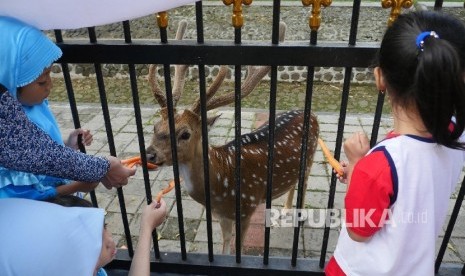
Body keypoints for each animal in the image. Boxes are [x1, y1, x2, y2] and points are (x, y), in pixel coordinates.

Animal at [146, 21, 320, 254]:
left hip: (310, 159)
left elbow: (238, 247)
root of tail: (311, 114)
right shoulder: (221, 216)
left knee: (304, 185)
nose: (149, 154)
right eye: (155, 126)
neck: (222, 182)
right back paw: (284, 209)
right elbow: (225, 246)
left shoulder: (247, 208)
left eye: (185, 134)